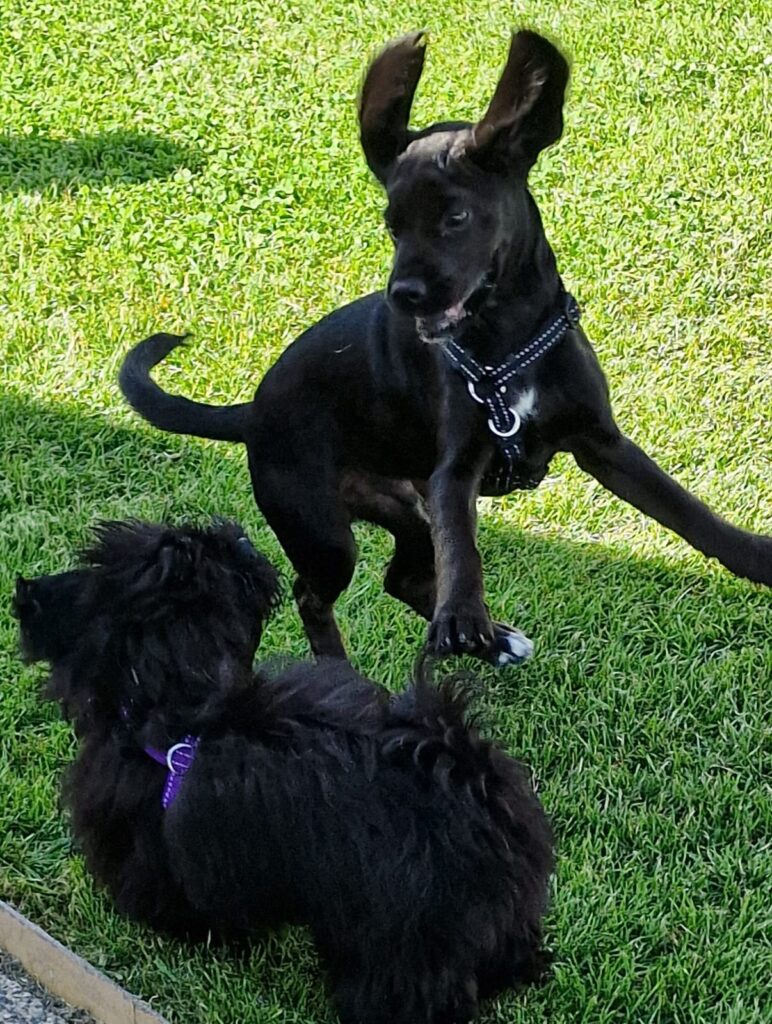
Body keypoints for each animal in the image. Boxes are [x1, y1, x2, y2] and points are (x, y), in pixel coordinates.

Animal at [117, 28, 765, 667]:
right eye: (392, 226)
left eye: (456, 217)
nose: (403, 295)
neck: (508, 342)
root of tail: (251, 412)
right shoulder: (455, 471)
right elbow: (462, 548)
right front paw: (462, 614)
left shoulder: (603, 443)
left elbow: (686, 510)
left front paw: (756, 555)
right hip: (323, 528)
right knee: (312, 592)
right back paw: (345, 662)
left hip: (403, 506)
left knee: (399, 577)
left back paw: (497, 641)